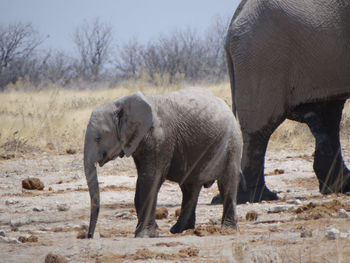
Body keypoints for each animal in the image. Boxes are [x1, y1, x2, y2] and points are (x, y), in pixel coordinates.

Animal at [83, 87, 242, 238]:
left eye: (98, 138)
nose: (89, 235)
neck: (120, 103)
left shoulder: (160, 138)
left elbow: (149, 178)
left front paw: (144, 235)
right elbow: (142, 180)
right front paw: (151, 231)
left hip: (231, 144)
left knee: (226, 183)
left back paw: (227, 230)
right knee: (189, 188)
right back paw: (179, 230)